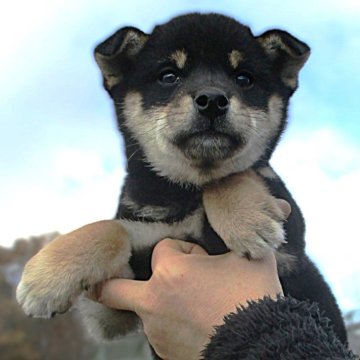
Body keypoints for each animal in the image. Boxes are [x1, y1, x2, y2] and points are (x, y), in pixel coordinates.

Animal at [15, 11, 348, 354]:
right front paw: (45, 278)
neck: (182, 192)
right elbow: (112, 227)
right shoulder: (114, 309)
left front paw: (248, 220)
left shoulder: (289, 254)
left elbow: (234, 174)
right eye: (168, 76)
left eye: (244, 79)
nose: (212, 99)